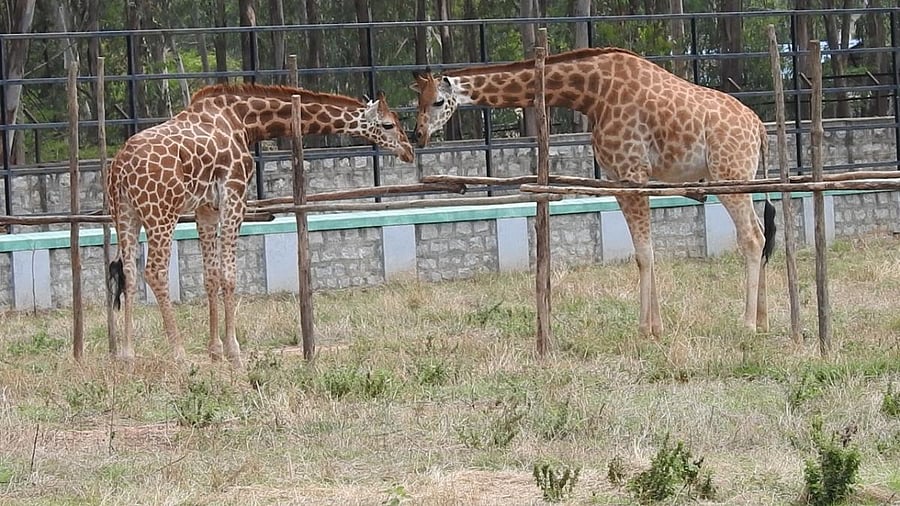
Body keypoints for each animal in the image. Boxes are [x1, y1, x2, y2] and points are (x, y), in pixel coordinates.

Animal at [107, 84, 415, 366]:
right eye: (388, 124)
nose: (409, 151)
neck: (244, 121)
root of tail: (120, 167)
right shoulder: (234, 195)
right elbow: (229, 275)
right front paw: (234, 352)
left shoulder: (206, 208)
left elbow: (211, 276)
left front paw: (215, 351)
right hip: (161, 212)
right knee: (155, 272)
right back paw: (179, 354)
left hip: (125, 214)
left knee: (129, 273)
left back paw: (127, 355)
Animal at [411, 47, 776, 336]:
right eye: (419, 101)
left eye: (438, 101)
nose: (418, 136)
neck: (592, 94)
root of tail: (759, 127)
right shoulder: (618, 179)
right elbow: (644, 252)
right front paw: (655, 327)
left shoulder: (632, 172)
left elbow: (645, 252)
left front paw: (645, 329)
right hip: (738, 177)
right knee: (761, 233)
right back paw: (763, 319)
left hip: (729, 175)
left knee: (751, 237)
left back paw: (747, 324)